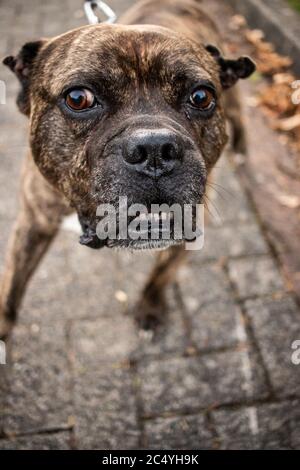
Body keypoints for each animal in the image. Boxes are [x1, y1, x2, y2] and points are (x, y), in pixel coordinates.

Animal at [0, 0, 254, 338]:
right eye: (78, 98)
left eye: (201, 96)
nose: (155, 149)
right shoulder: (32, 222)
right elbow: (11, 288)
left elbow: (161, 274)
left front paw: (150, 307)